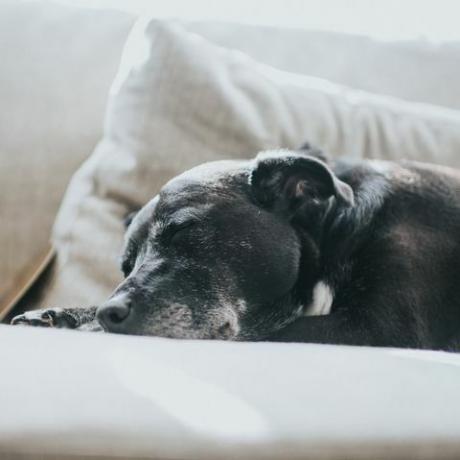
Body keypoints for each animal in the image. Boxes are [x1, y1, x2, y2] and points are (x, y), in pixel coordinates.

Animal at [10, 147, 460, 352]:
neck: (331, 231)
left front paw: (83, 324)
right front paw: (64, 314)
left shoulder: (381, 328)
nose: (110, 312)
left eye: (184, 233)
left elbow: (263, 333)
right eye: (125, 266)